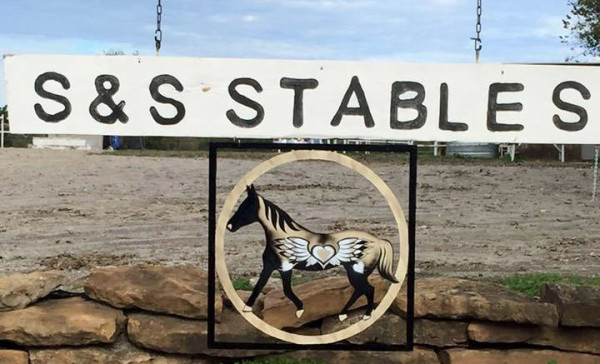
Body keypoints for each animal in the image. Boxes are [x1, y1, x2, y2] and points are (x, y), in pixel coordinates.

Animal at [226, 185, 398, 322]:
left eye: (246, 207)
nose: (229, 226)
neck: (281, 237)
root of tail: (379, 241)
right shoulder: (271, 267)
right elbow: (261, 286)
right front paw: (247, 308)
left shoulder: (285, 267)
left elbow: (285, 290)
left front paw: (300, 310)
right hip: (355, 272)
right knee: (360, 290)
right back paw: (343, 314)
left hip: (357, 271)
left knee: (368, 290)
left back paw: (366, 315)